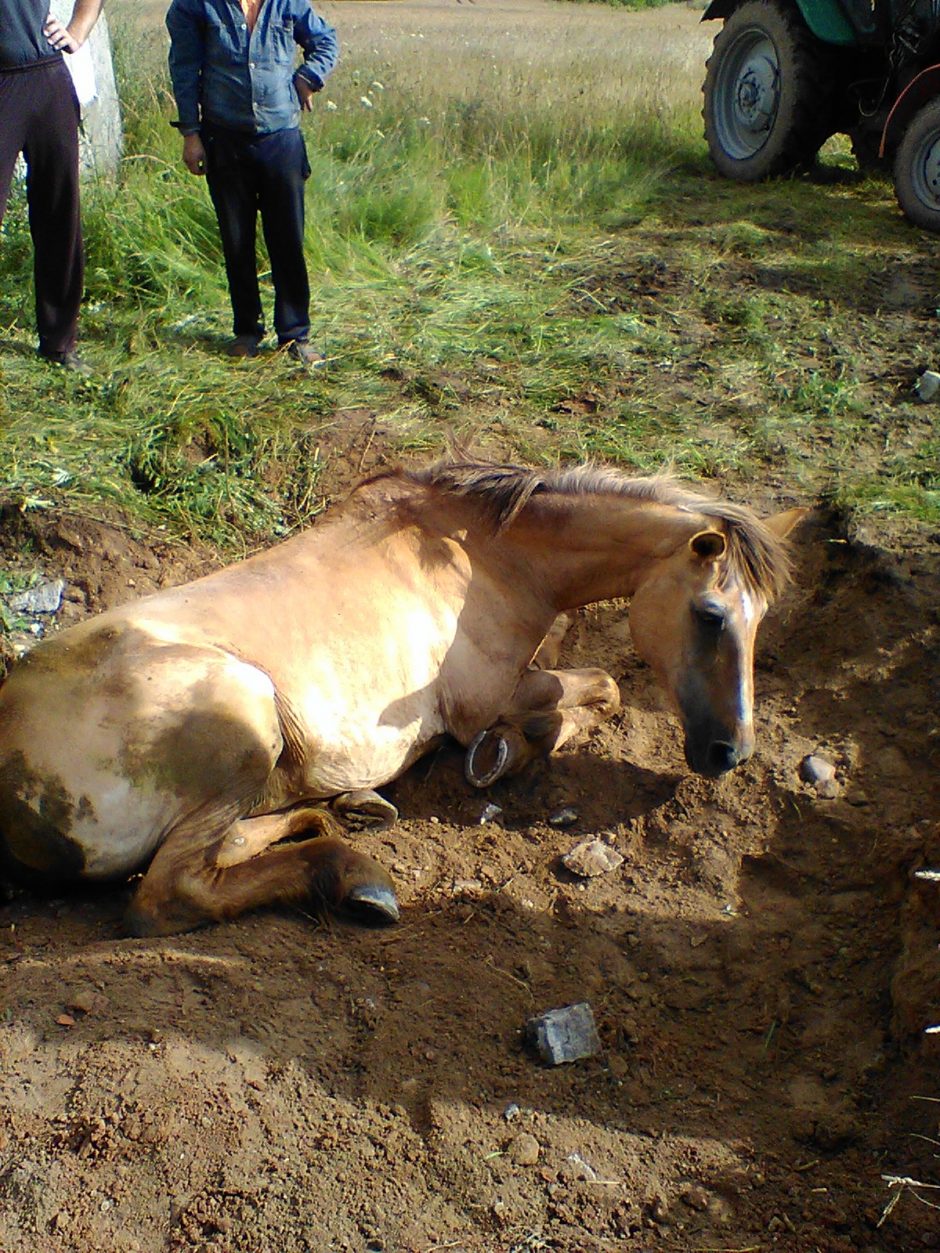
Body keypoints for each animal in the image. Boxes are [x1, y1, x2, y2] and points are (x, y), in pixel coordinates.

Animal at [0, 458, 802, 932]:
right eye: (711, 614)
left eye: (763, 618)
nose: (730, 751)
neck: (487, 555)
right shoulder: (485, 697)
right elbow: (591, 691)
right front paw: (504, 751)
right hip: (246, 711)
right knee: (169, 894)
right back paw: (351, 875)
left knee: (228, 841)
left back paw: (344, 810)